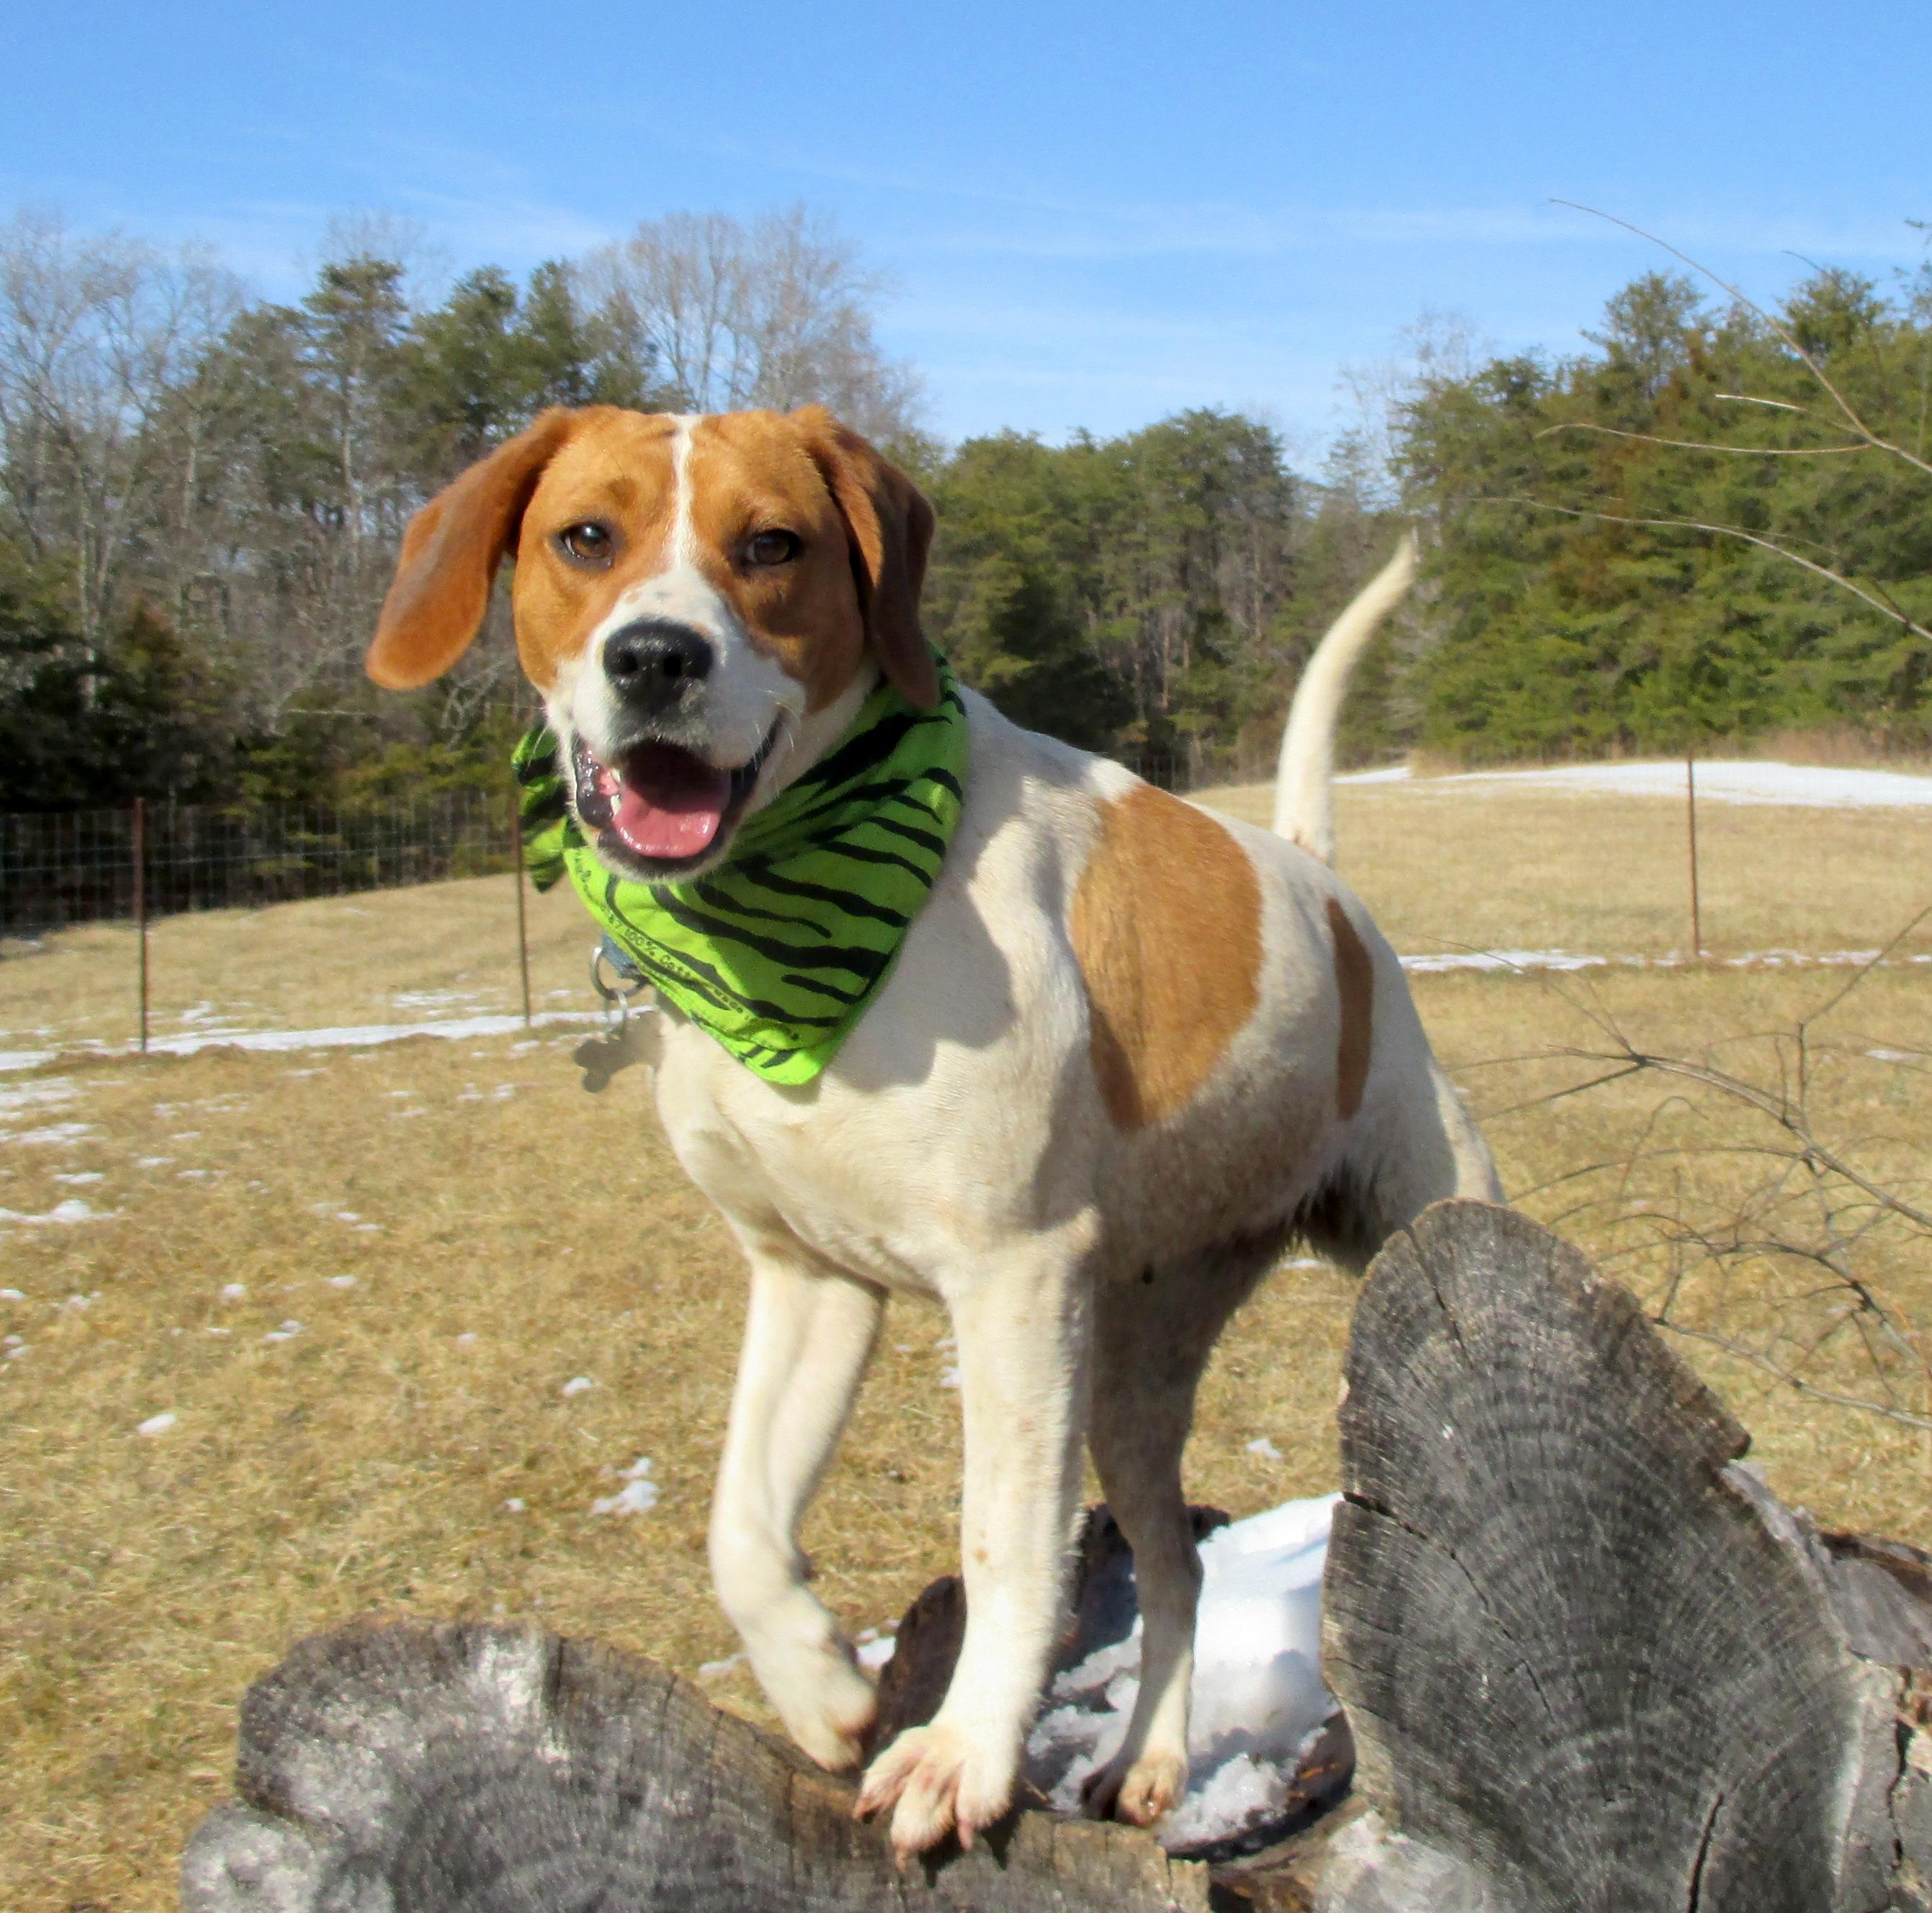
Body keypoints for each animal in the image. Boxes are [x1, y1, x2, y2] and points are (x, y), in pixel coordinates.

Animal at [365, 403, 1506, 1855]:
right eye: (583, 537)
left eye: (771, 545)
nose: (655, 656)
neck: (782, 937)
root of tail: (1319, 883)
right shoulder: (810, 1280)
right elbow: (738, 1526)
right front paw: (822, 1688)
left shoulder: (1011, 1281)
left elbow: (1003, 1545)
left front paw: (960, 1753)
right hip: (1127, 1378)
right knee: (1173, 1563)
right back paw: (1147, 1760)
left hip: (1422, 1231)